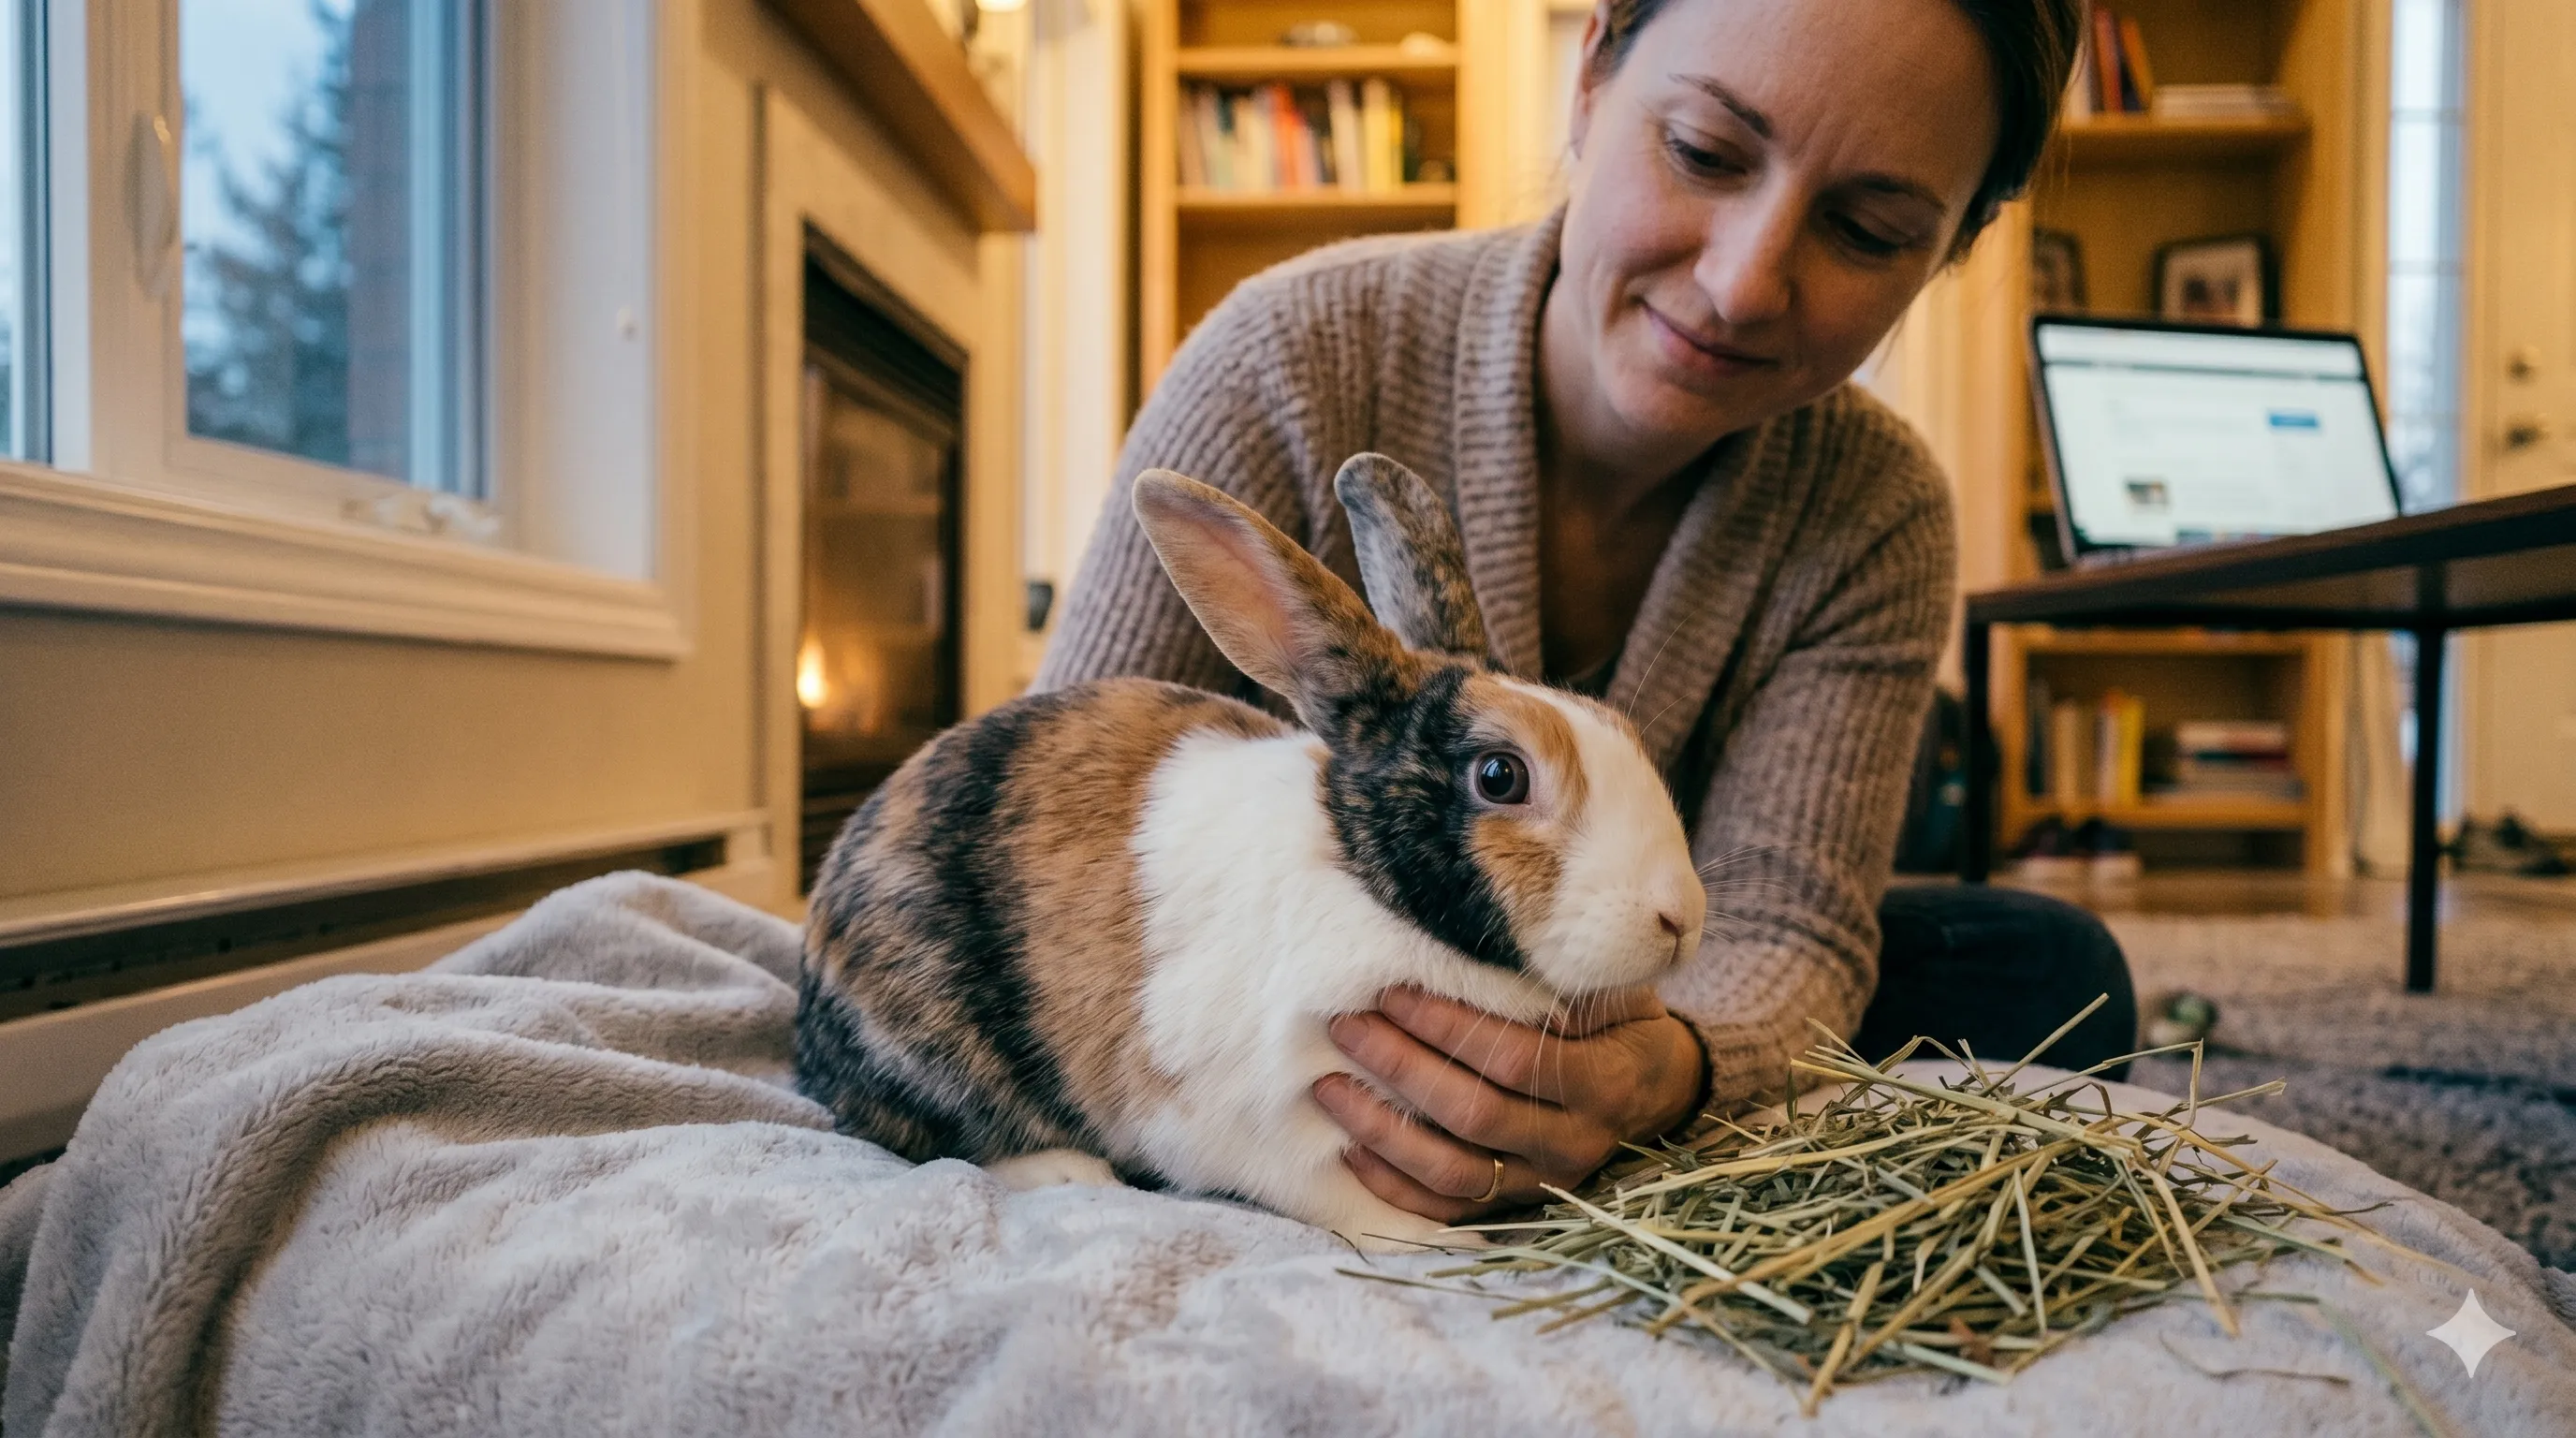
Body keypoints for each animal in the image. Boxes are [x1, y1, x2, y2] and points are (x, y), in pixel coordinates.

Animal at [794, 452, 1707, 1251]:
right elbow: (1339, 1199)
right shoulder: (1247, 1120)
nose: (1682, 920)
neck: (1369, 891)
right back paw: (1068, 1174)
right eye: (1500, 775)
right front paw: (1446, 1245)